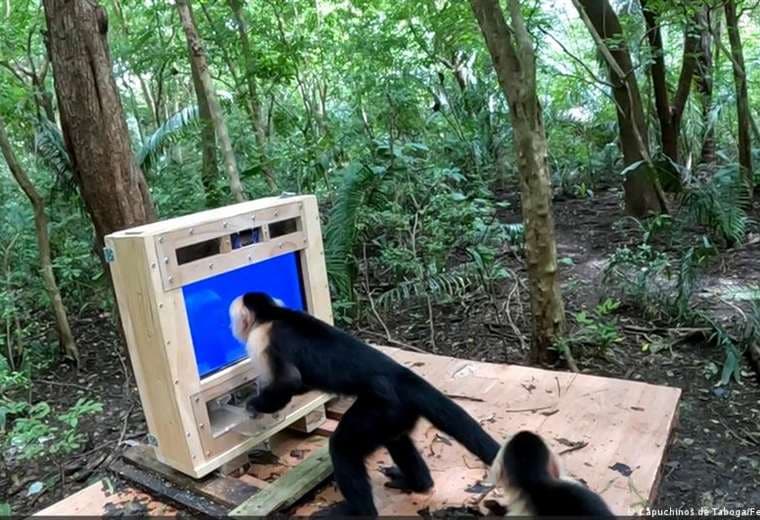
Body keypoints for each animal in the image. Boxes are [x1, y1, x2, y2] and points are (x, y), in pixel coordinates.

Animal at [228, 292, 500, 517]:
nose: (232, 328)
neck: (272, 314)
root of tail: (400, 375)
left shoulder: (260, 340)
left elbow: (289, 382)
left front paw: (254, 405)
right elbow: (299, 384)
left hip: (380, 409)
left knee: (343, 447)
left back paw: (356, 511)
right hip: (396, 412)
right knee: (396, 439)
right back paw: (418, 482)